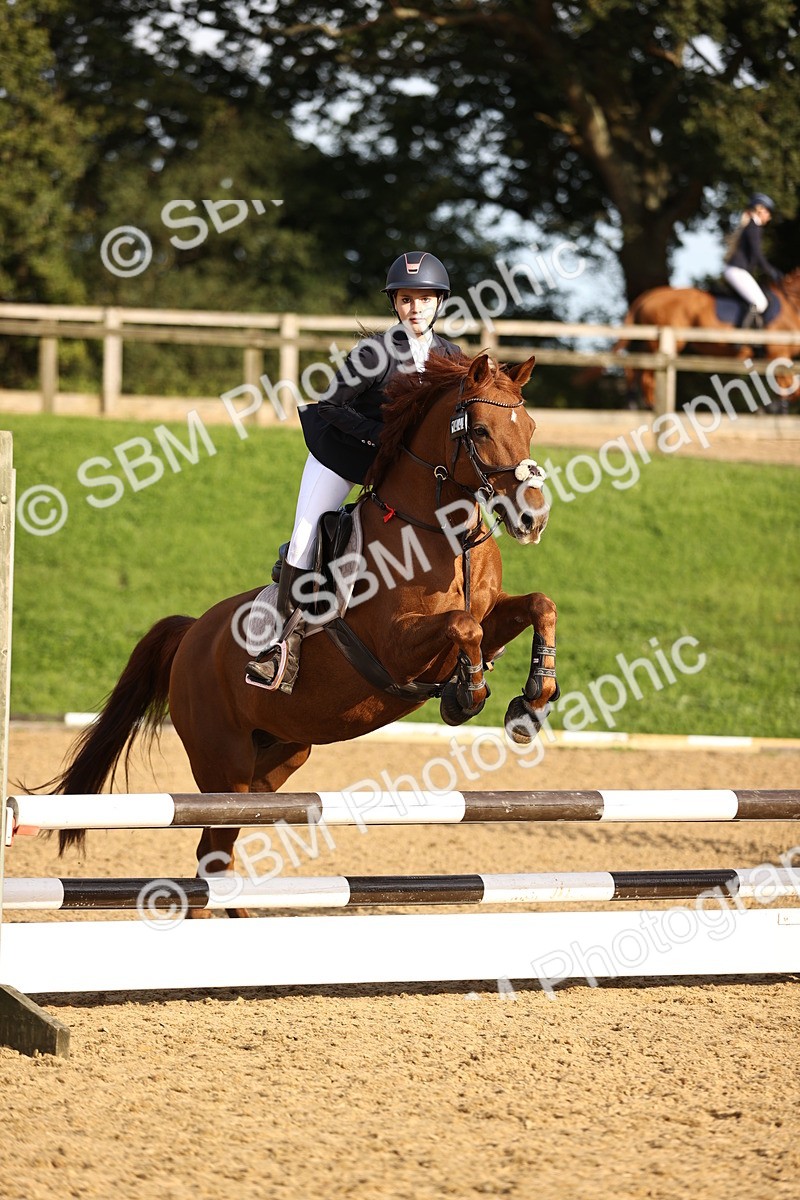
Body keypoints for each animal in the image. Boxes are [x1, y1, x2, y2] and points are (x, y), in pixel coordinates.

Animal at [45, 351, 559, 914]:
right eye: (482, 430)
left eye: (531, 427)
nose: (532, 518)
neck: (442, 531)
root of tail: (192, 634)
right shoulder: (397, 647)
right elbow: (462, 627)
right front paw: (466, 696)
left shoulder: (489, 619)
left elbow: (539, 605)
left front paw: (532, 701)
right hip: (223, 764)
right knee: (213, 854)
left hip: (277, 757)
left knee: (216, 849)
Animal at [587, 269, 800, 408]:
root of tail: (651, 296)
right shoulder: (778, 352)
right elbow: (790, 387)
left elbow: (788, 387)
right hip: (665, 343)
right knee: (647, 374)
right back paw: (651, 406)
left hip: (649, 343)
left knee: (635, 369)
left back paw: (637, 405)